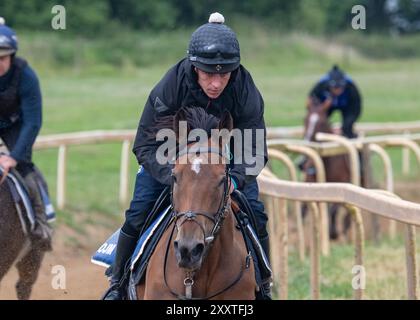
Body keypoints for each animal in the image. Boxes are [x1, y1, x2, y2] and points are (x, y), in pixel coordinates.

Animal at [302, 98, 354, 240]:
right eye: (305, 119)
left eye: (321, 122)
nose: (307, 141)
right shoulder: (312, 182)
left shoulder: (342, 184)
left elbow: (334, 209)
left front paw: (333, 232)